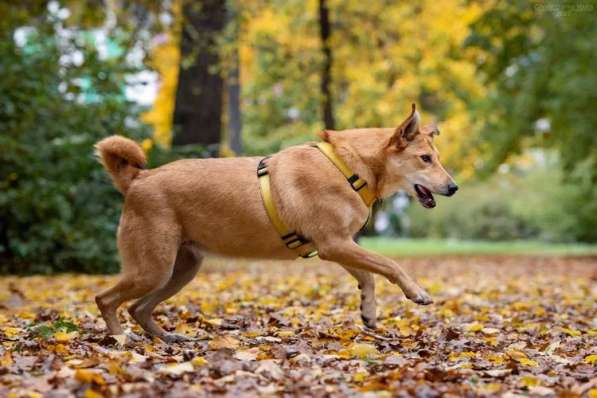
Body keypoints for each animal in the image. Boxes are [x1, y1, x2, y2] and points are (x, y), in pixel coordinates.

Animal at [94, 103, 456, 342]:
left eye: (436, 158)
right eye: (425, 159)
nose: (453, 187)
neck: (349, 166)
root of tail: (139, 178)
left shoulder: (341, 245)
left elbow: (367, 276)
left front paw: (368, 310)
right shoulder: (334, 244)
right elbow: (389, 265)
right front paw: (416, 292)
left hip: (179, 271)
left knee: (138, 308)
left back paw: (168, 338)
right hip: (153, 269)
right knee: (106, 300)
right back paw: (121, 340)